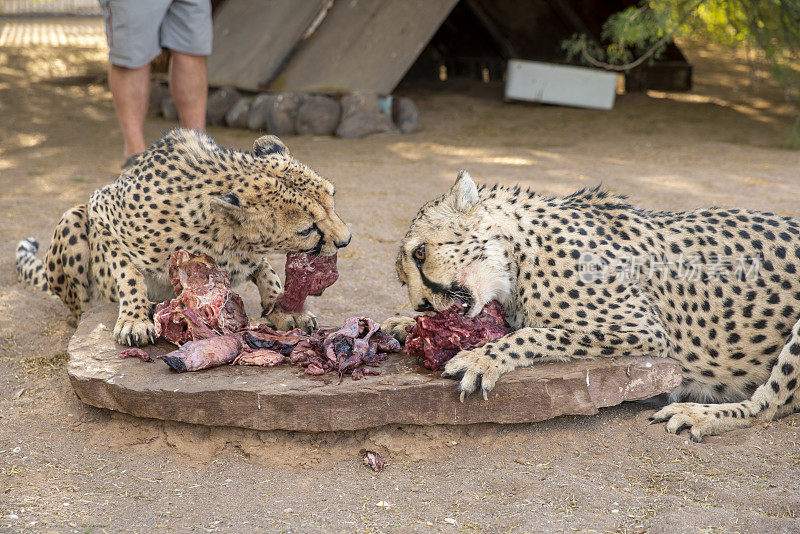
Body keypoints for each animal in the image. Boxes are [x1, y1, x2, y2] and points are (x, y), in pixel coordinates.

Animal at [15, 130, 352, 348]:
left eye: (333, 199)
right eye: (306, 229)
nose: (346, 240)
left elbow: (266, 271)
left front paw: (283, 308)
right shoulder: (102, 208)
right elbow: (128, 274)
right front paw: (134, 319)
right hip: (73, 218)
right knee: (78, 306)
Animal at [386, 173, 800, 444]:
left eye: (420, 253)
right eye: (403, 280)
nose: (422, 303)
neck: (518, 251)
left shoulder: (648, 331)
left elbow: (535, 333)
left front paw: (481, 359)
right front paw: (404, 325)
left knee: (773, 404)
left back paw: (696, 414)